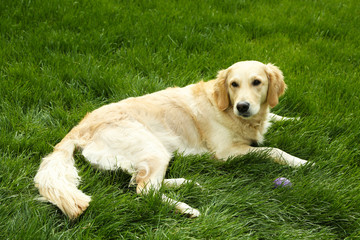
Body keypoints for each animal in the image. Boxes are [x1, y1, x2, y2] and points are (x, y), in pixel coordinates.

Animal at [35, 60, 308, 219]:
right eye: (234, 84)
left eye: (257, 82)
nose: (242, 106)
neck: (228, 110)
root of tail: (79, 128)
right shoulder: (225, 153)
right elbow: (272, 150)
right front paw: (303, 162)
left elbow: (276, 117)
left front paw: (297, 119)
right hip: (151, 147)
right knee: (145, 190)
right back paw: (187, 208)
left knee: (139, 182)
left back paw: (190, 184)